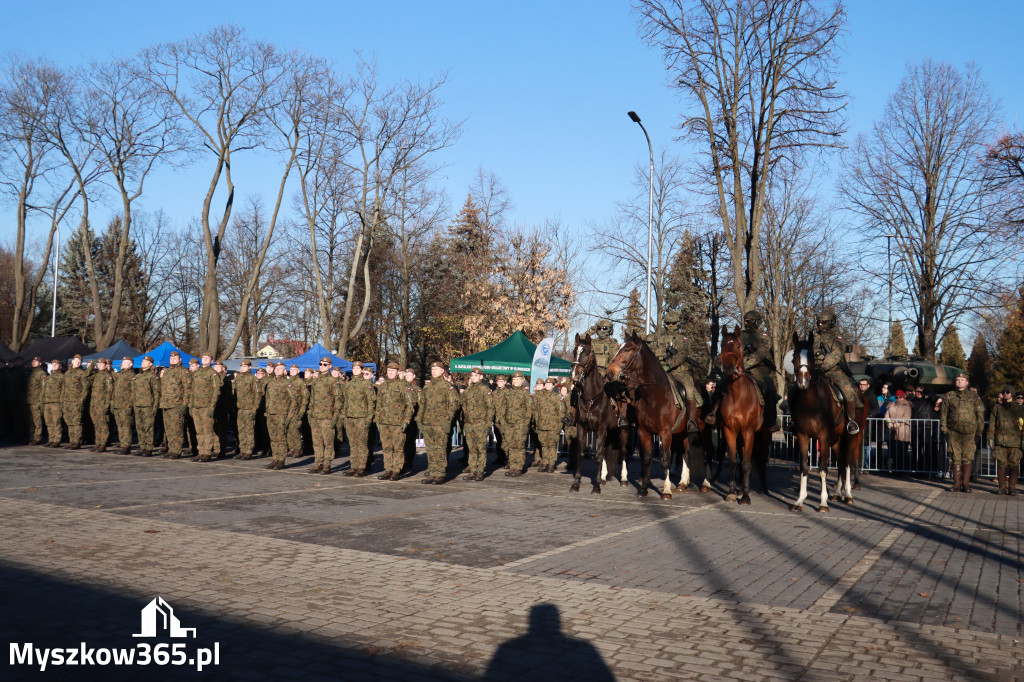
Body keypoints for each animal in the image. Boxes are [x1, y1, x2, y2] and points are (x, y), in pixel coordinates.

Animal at [573, 331, 626, 491]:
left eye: (587, 352)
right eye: (574, 352)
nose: (575, 376)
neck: (591, 398)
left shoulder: (601, 428)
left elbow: (597, 456)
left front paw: (596, 486)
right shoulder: (582, 427)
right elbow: (581, 453)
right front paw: (576, 483)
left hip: (624, 430)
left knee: (624, 452)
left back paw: (623, 479)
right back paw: (603, 477)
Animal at [602, 329, 708, 497]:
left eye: (627, 349)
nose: (609, 372)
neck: (653, 395)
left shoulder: (665, 433)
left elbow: (665, 460)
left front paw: (666, 490)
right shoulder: (643, 432)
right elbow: (646, 458)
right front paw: (644, 488)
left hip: (703, 431)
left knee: (707, 454)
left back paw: (705, 484)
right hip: (682, 433)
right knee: (686, 453)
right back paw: (683, 483)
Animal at [720, 323, 770, 503]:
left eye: (738, 346)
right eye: (722, 345)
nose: (728, 368)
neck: (738, 396)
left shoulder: (749, 432)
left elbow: (747, 464)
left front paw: (746, 496)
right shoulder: (730, 431)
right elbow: (734, 462)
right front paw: (732, 492)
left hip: (764, 436)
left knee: (761, 461)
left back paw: (763, 488)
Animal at [786, 329, 868, 509]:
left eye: (811, 356)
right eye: (794, 357)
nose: (803, 381)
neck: (810, 402)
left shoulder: (823, 436)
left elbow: (823, 468)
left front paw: (823, 502)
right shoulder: (802, 436)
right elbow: (804, 467)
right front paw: (800, 499)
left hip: (851, 436)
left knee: (848, 462)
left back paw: (848, 494)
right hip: (836, 439)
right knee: (841, 463)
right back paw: (837, 493)